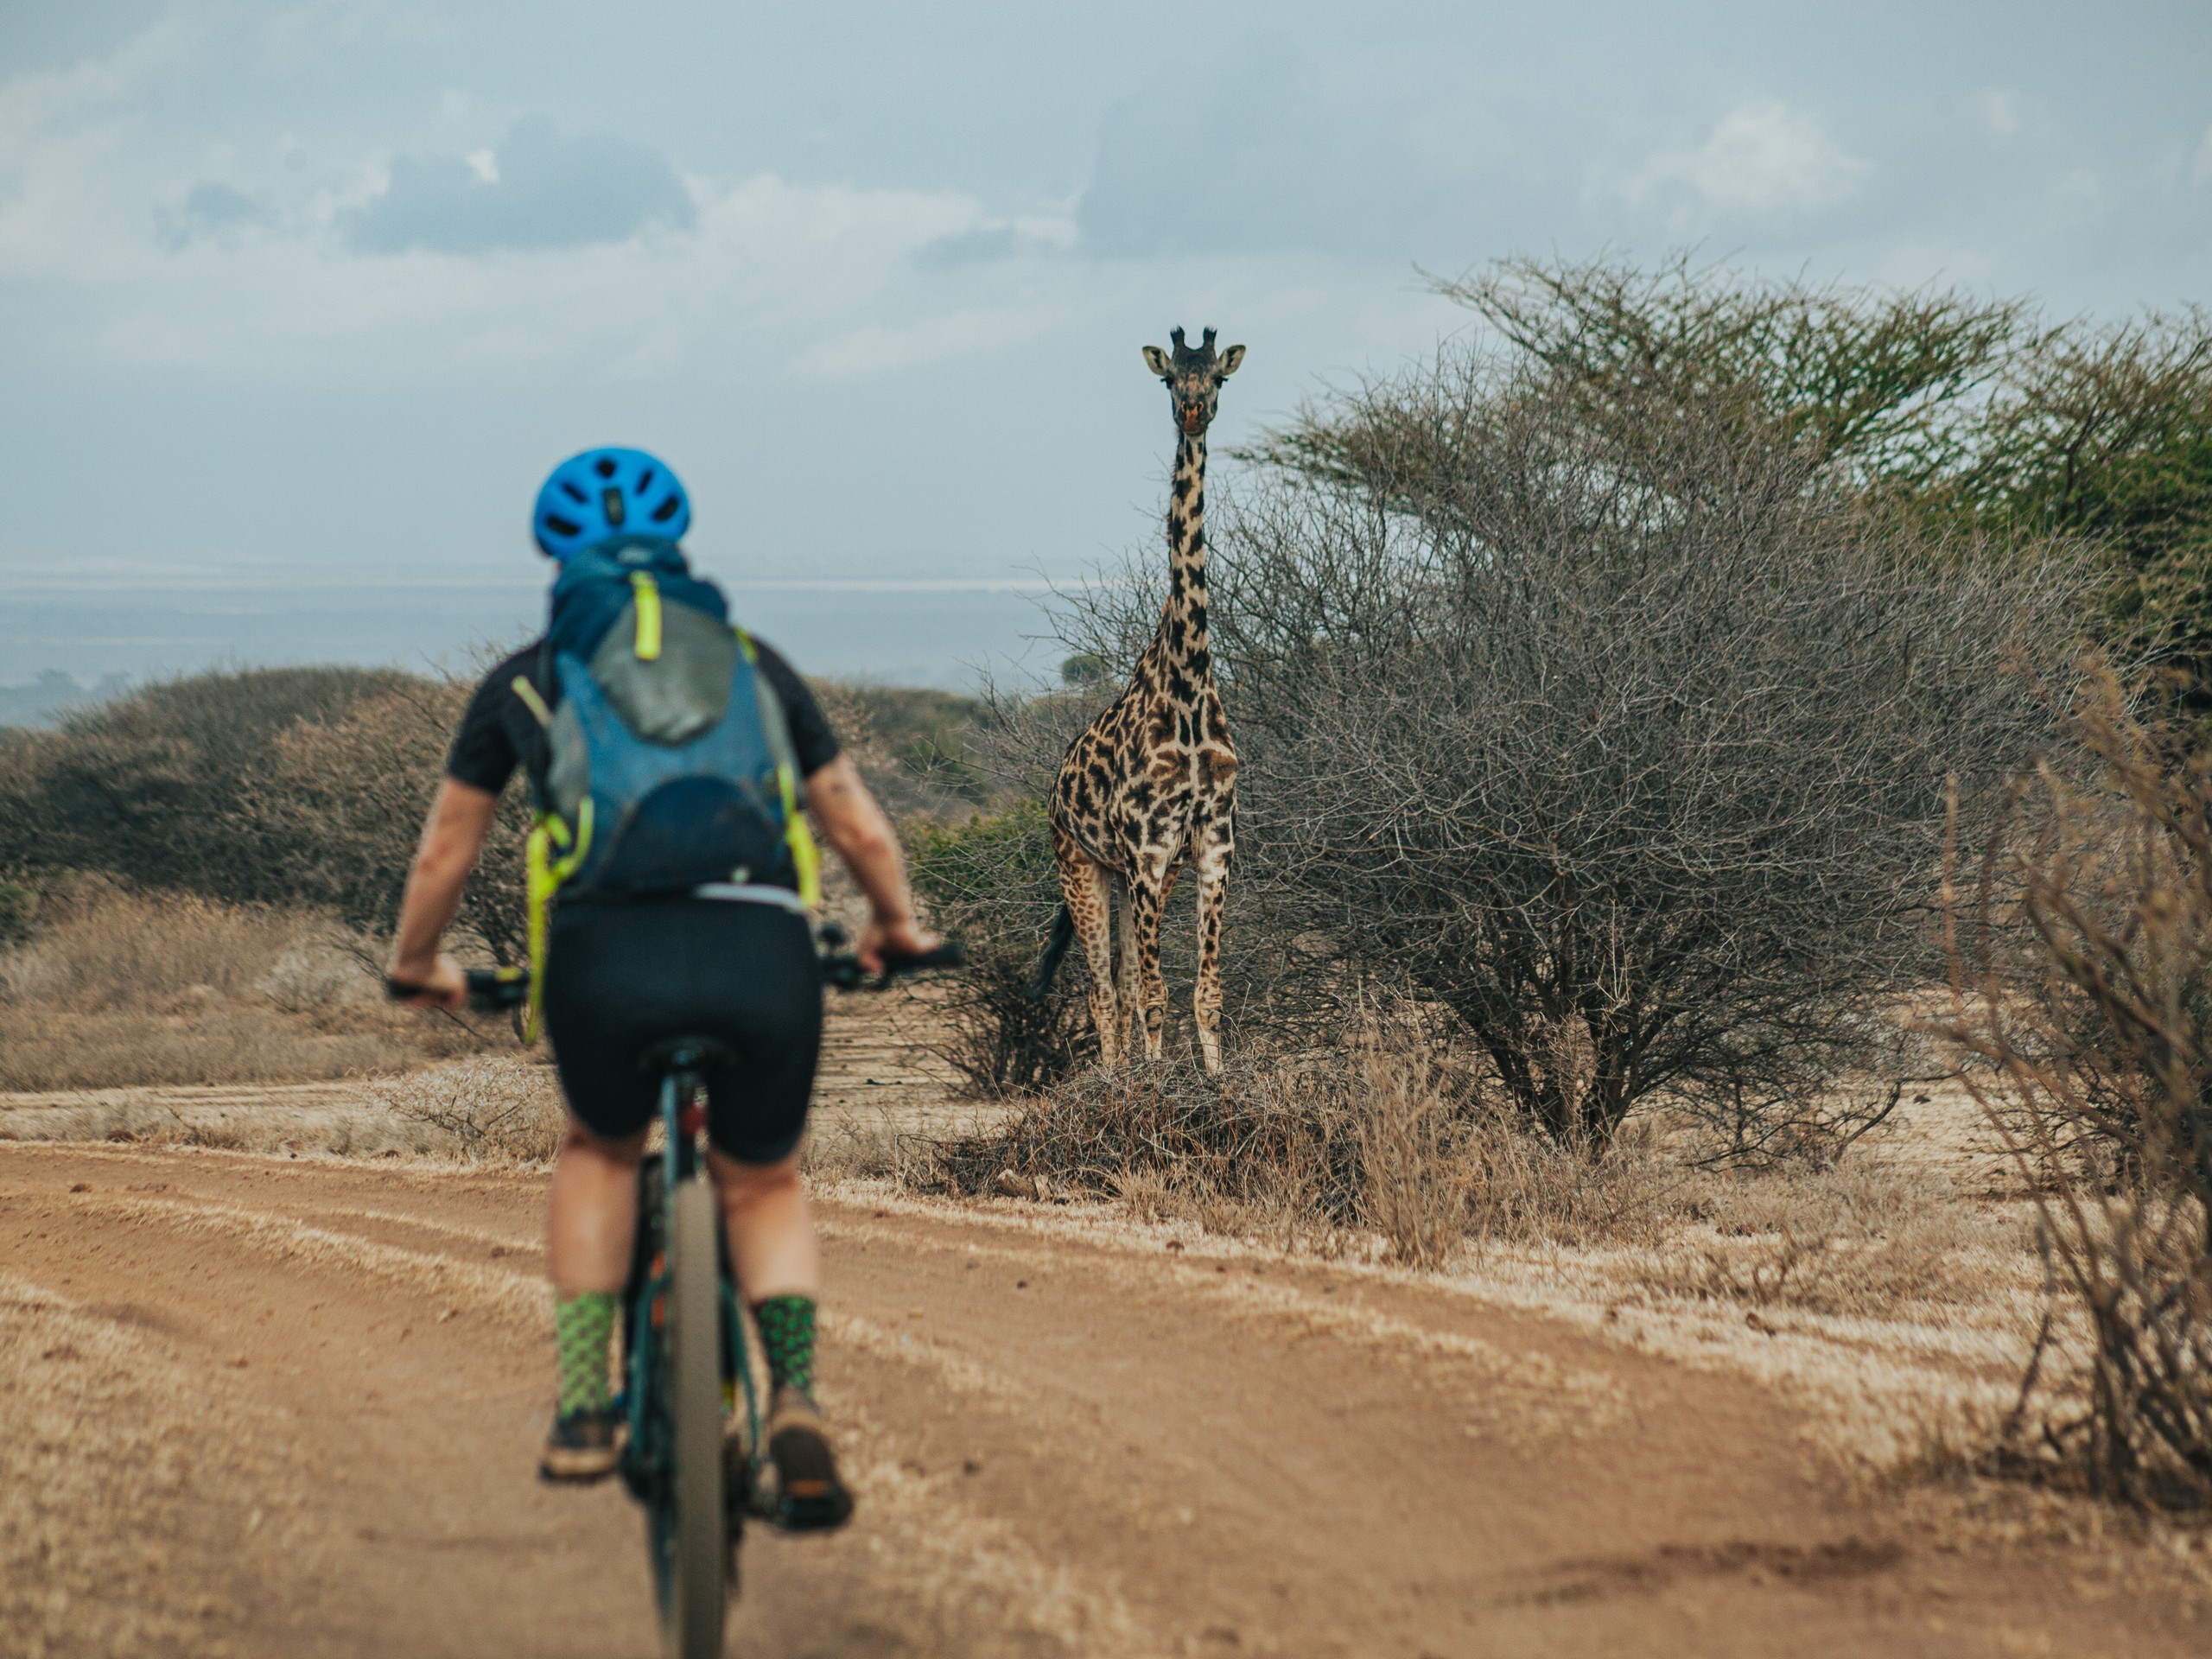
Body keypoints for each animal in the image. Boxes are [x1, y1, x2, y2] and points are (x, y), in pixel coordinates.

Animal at [1035, 327, 1247, 1079]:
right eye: (1167, 380)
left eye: (1219, 376)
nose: (1194, 411)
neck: (1189, 681)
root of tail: (1054, 787)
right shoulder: (1147, 846)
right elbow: (1154, 994)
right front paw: (1155, 1088)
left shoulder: (1210, 842)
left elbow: (1205, 991)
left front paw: (1216, 1081)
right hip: (1083, 864)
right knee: (1104, 993)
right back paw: (1114, 1079)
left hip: (1132, 877)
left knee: (1122, 989)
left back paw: (1126, 1071)